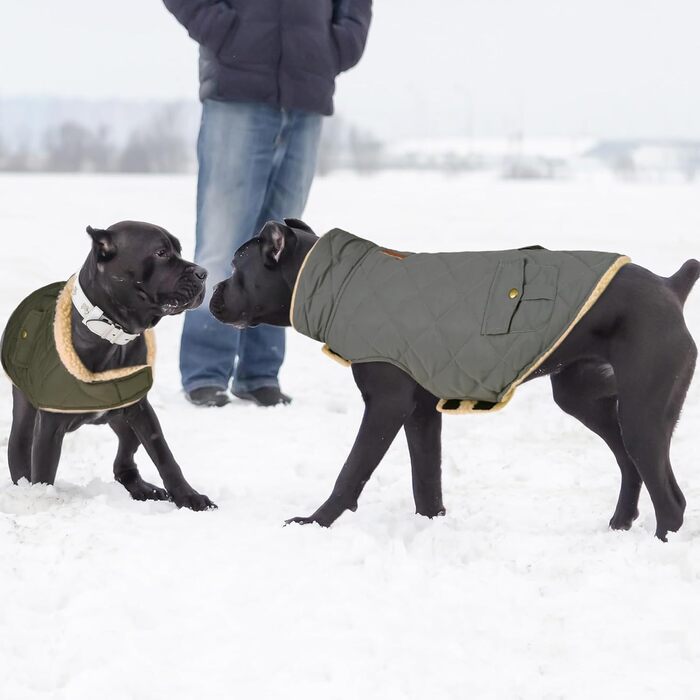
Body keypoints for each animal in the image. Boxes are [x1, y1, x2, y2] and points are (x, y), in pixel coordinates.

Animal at [2, 221, 215, 512]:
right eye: (160, 253)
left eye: (179, 250)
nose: (203, 273)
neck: (111, 333)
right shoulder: (49, 426)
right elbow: (44, 471)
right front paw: (45, 502)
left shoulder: (141, 409)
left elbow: (164, 456)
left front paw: (188, 497)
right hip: (25, 421)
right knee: (21, 459)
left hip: (124, 420)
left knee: (124, 462)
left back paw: (143, 489)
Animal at [211, 219, 696, 540]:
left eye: (237, 264)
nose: (212, 290)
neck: (339, 282)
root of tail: (670, 287)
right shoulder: (422, 411)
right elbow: (426, 479)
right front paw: (432, 526)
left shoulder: (386, 405)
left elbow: (352, 471)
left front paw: (315, 522)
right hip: (587, 398)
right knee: (631, 466)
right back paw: (618, 527)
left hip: (643, 412)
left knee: (671, 500)